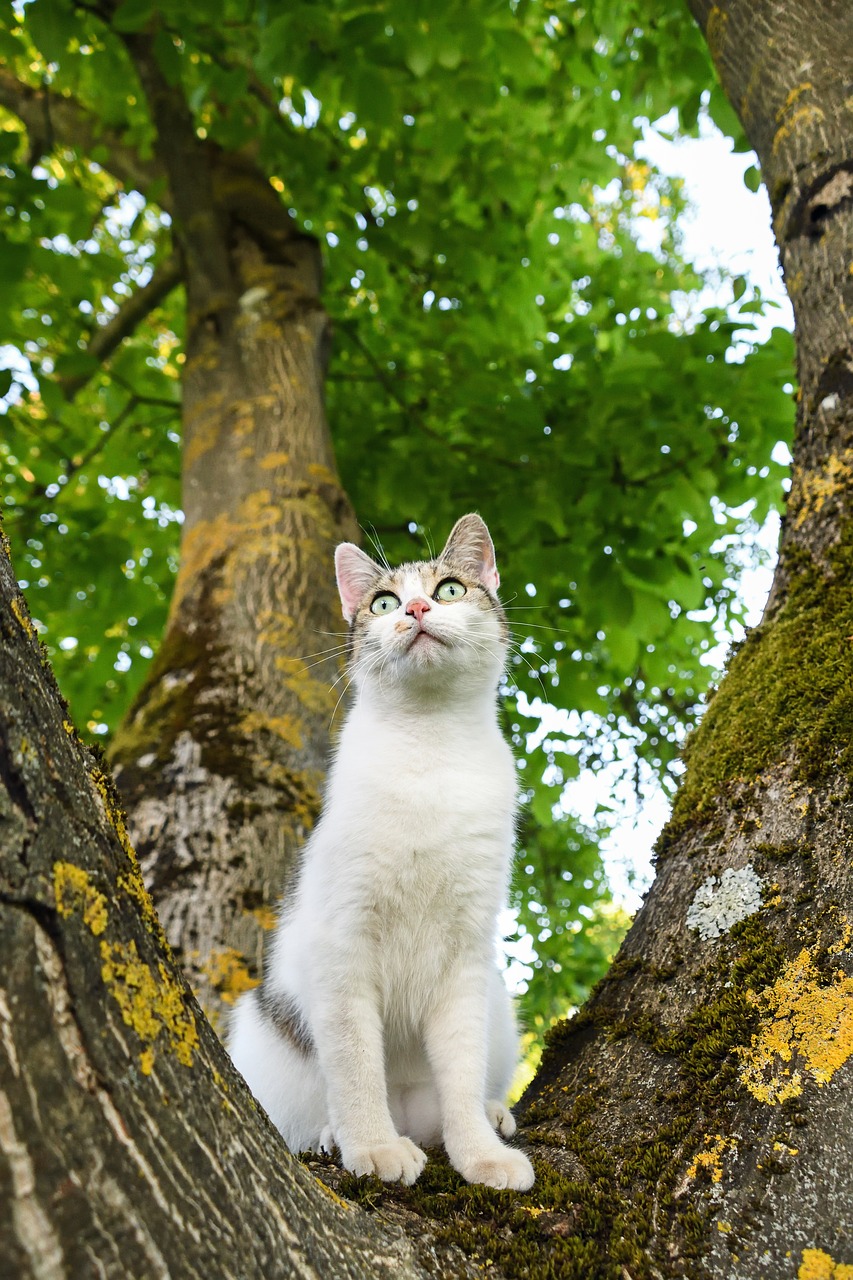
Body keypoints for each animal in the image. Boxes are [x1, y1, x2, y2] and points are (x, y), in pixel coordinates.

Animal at [225, 514, 532, 1192]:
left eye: (448, 590)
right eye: (384, 603)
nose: (415, 608)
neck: (430, 749)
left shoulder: (467, 953)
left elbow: (462, 1068)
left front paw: (481, 1155)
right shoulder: (343, 942)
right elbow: (356, 1061)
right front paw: (372, 1146)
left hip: (498, 998)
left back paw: (492, 1114)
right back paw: (337, 1134)